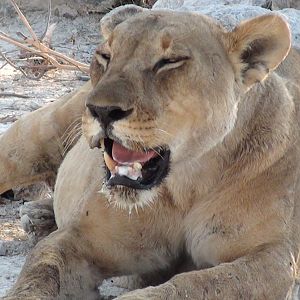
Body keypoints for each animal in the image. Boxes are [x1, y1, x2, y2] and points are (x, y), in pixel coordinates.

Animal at [1, 4, 300, 300]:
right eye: (105, 56)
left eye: (170, 61)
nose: (101, 110)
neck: (186, 187)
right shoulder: (83, 239)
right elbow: (40, 271)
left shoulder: (274, 256)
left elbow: (196, 285)